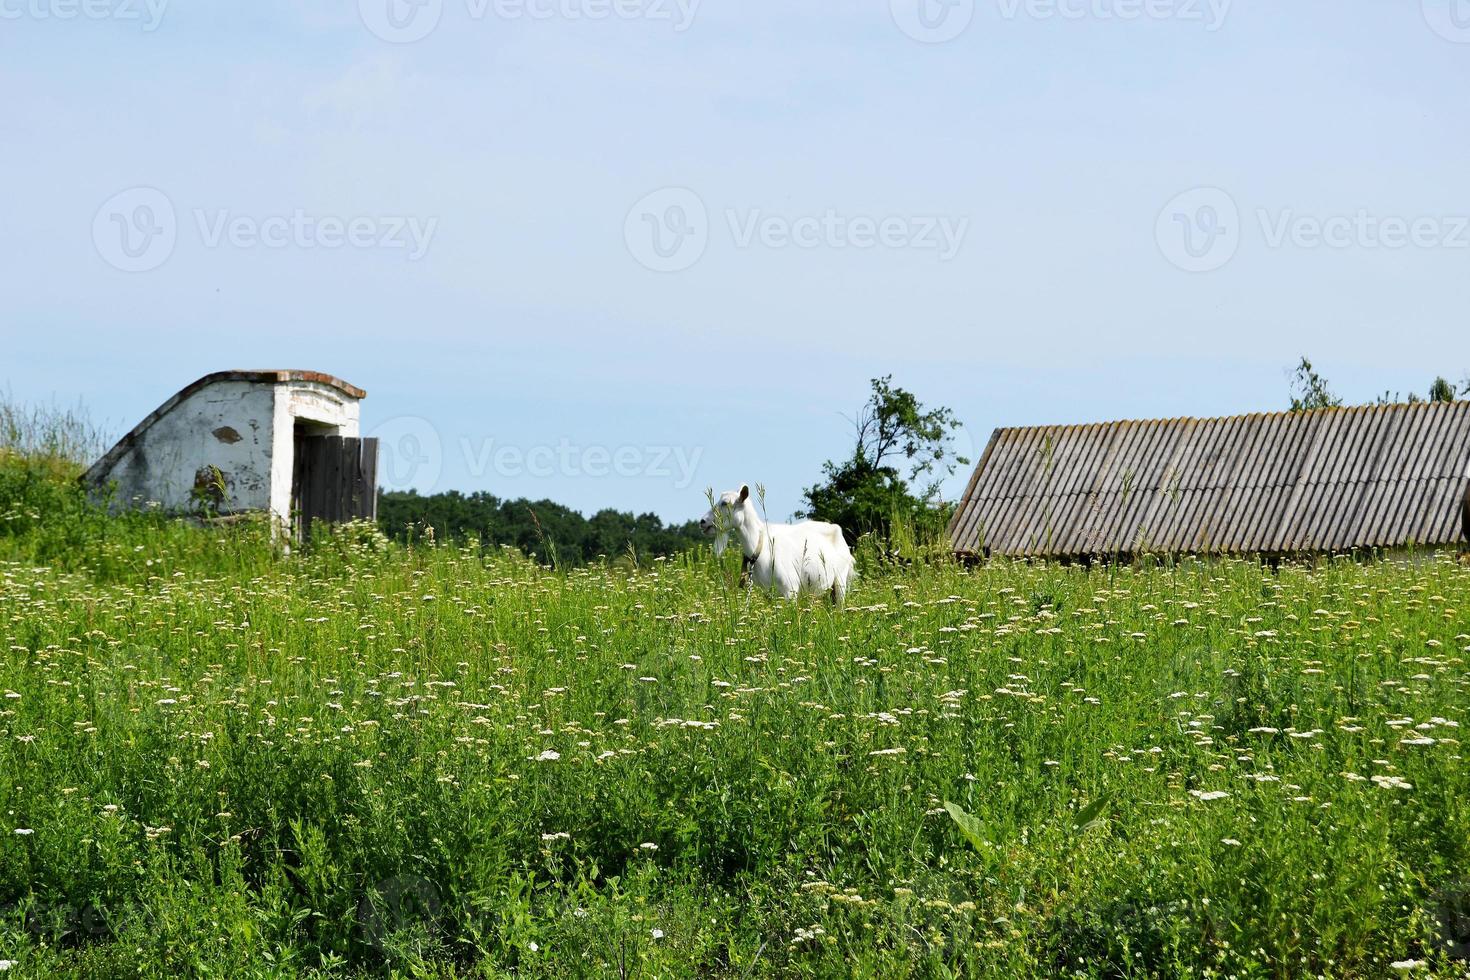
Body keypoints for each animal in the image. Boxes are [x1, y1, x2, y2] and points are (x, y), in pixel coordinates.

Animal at [696, 484, 852, 602]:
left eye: (725, 503)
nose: (702, 522)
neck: (760, 547)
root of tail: (836, 529)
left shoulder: (790, 589)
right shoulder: (767, 592)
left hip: (840, 580)